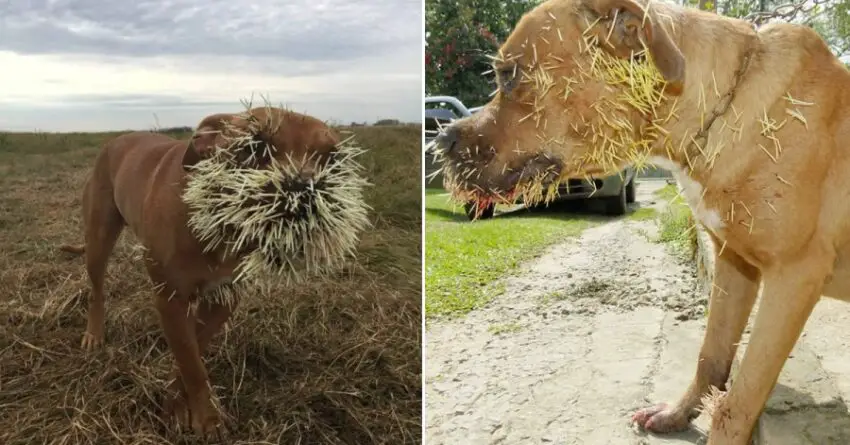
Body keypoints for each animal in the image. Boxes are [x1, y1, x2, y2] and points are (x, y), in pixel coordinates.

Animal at [60, 107, 338, 434]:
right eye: (254, 146)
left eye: (332, 157)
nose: (304, 190)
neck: (220, 224)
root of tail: (116, 140)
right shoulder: (171, 299)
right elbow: (191, 362)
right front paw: (207, 418)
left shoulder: (224, 298)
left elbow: (193, 351)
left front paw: (177, 404)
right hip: (99, 238)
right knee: (97, 289)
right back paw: (94, 333)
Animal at [434, 0, 848, 442]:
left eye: (509, 75)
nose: (441, 140)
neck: (722, 107)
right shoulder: (733, 263)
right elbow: (711, 356)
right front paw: (679, 414)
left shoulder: (793, 277)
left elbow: (735, 406)